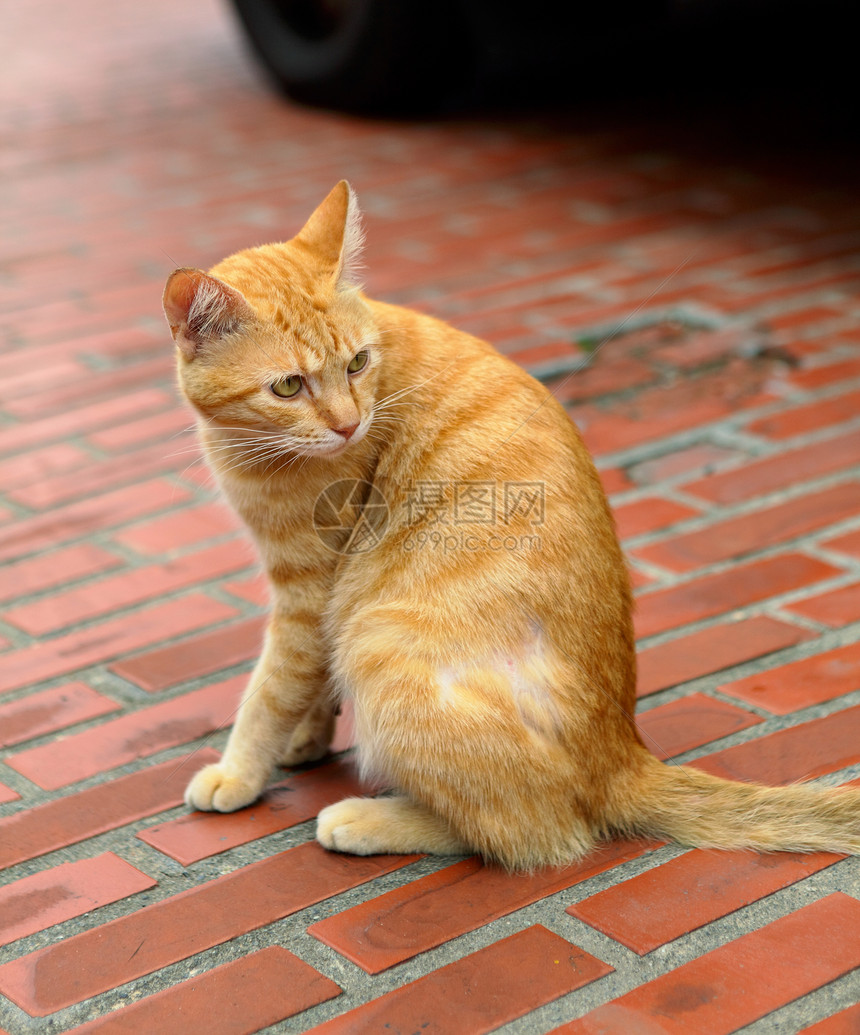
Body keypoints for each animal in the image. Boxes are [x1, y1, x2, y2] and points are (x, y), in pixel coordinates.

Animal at [163, 182, 860, 869]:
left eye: (357, 363)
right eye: (287, 386)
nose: (348, 425)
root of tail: (625, 756)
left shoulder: (309, 593)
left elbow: (271, 690)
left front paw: (238, 772)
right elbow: (307, 684)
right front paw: (308, 738)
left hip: (378, 644)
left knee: (536, 832)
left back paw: (370, 819)